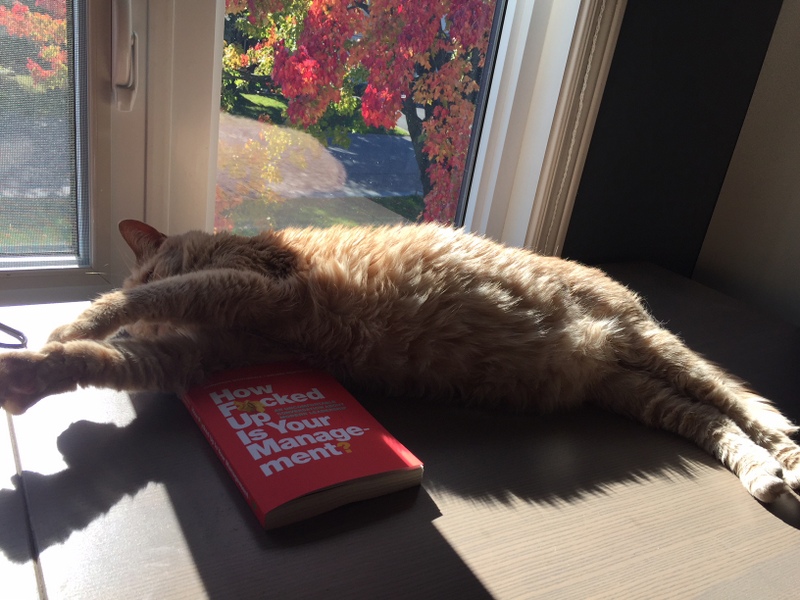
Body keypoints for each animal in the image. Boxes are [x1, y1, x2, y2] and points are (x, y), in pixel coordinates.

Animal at [0, 219, 798, 503]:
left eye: (145, 262)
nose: (140, 286)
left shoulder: (252, 285)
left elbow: (125, 310)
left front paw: (73, 319)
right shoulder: (198, 354)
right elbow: (102, 361)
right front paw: (33, 373)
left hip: (646, 340)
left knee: (734, 397)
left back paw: (785, 447)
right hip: (633, 389)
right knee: (707, 421)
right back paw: (762, 472)